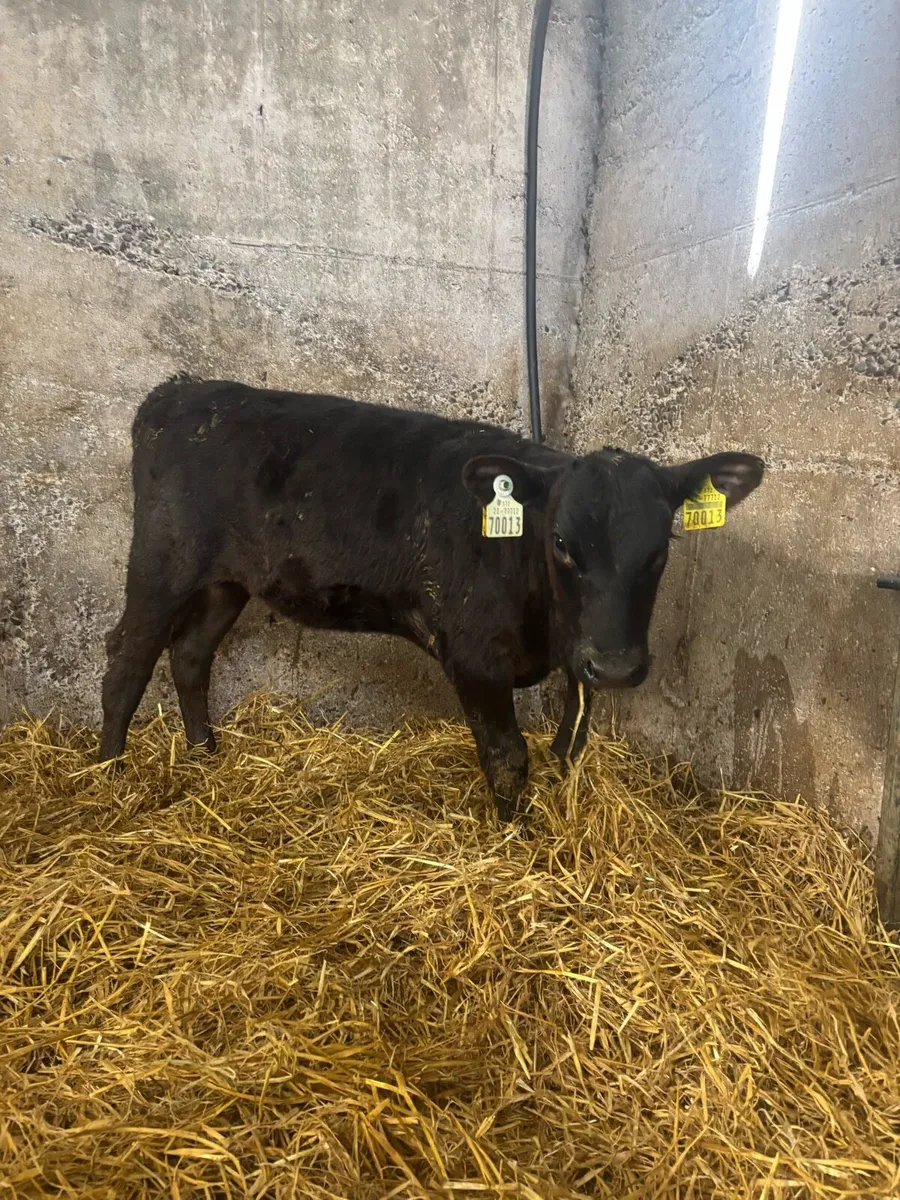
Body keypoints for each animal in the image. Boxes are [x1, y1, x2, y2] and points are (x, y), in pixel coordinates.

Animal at [100, 376, 765, 822]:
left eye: (662, 546)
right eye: (560, 543)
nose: (618, 667)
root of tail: (179, 391)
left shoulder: (578, 654)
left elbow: (567, 748)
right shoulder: (473, 655)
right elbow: (508, 756)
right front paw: (518, 840)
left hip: (225, 580)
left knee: (191, 655)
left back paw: (204, 755)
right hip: (162, 561)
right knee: (128, 659)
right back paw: (108, 773)